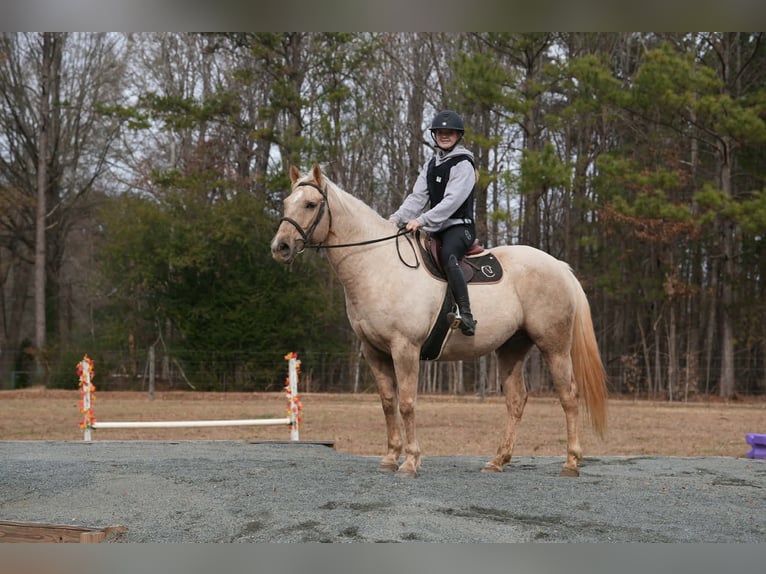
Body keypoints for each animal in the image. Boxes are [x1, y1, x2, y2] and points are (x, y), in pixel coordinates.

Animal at [271, 163, 608, 478]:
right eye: (287, 202)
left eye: (311, 204)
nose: (280, 247)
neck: (377, 265)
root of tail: (559, 266)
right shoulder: (374, 352)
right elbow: (388, 402)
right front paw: (390, 458)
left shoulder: (405, 348)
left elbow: (407, 403)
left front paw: (410, 462)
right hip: (512, 347)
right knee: (516, 400)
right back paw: (498, 461)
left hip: (554, 346)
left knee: (569, 396)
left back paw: (571, 462)